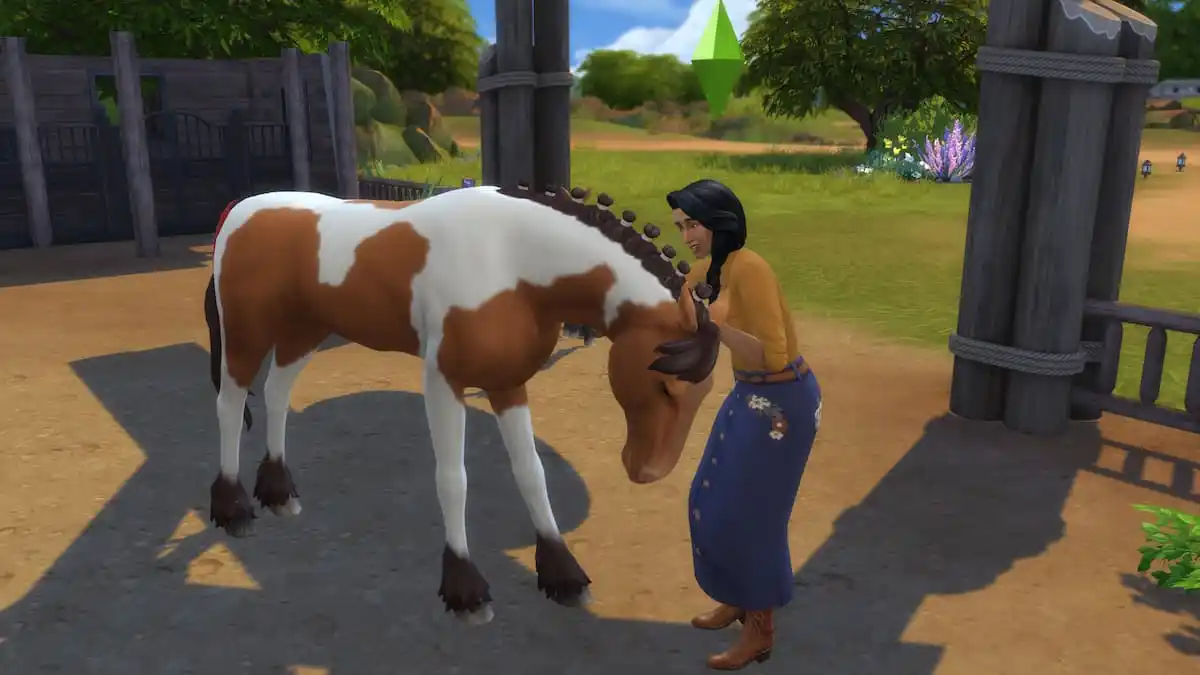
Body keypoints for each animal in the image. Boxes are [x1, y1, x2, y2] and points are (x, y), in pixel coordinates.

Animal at [203, 183, 721, 624]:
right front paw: (465, 590)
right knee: (229, 406)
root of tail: (241, 209)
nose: (647, 471)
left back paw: (278, 494)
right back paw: (234, 510)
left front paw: (563, 576)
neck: (513, 263)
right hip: (248, 335)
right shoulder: (443, 383)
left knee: (277, 393)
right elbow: (453, 480)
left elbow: (531, 472)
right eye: (667, 385)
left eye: (703, 392)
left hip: (304, 331)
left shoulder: (508, 383)